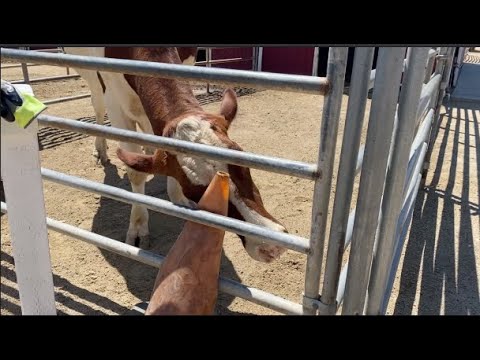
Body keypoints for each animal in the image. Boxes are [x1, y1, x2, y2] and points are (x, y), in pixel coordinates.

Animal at [64, 46, 288, 262]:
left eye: (244, 165)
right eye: (198, 192)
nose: (271, 246)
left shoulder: (186, 64)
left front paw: (177, 197)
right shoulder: (114, 99)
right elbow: (135, 173)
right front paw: (138, 227)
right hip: (92, 78)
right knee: (97, 105)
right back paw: (101, 149)